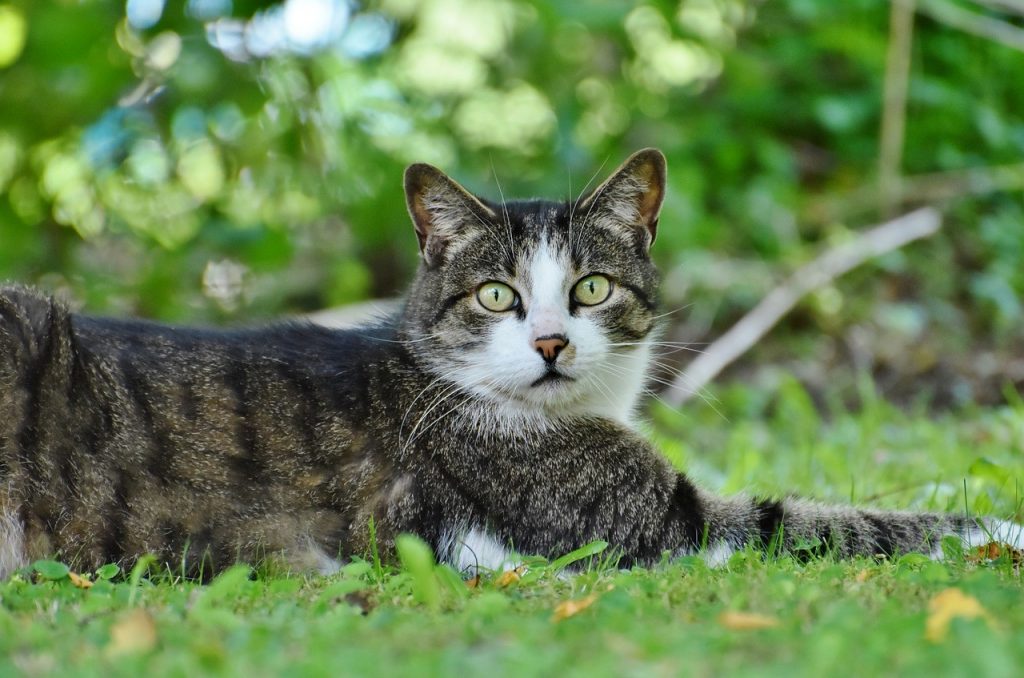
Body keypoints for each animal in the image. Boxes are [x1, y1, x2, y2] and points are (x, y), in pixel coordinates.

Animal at [0, 150, 1019, 577]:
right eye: (497, 296)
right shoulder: (653, 520)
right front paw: (999, 528)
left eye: (592, 288)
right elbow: (836, 519)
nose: (552, 342)